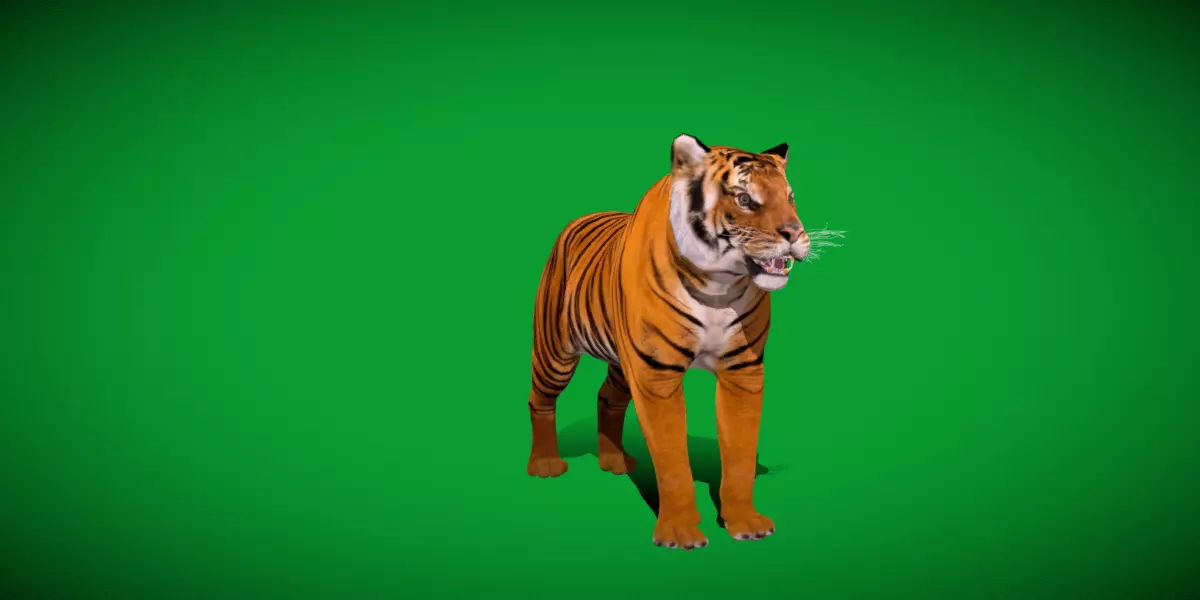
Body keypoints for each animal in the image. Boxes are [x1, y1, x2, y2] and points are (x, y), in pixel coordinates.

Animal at [527, 134, 810, 550]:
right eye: (744, 199)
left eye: (790, 198)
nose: (794, 235)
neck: (720, 285)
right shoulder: (656, 374)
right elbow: (673, 458)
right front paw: (679, 532)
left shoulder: (742, 369)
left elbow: (740, 455)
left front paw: (745, 522)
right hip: (555, 352)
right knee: (540, 401)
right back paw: (545, 464)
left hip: (620, 363)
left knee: (607, 397)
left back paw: (615, 462)